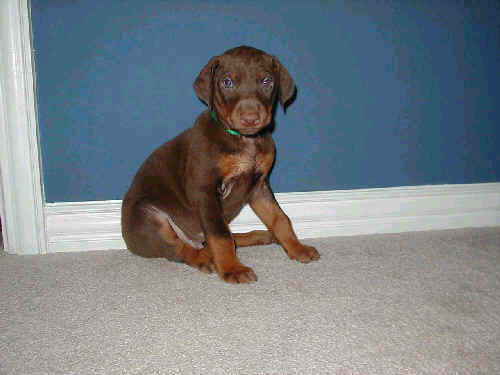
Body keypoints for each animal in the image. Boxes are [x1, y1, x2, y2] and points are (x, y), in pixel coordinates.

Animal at [123, 45, 322, 284]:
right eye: (227, 82)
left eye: (267, 81)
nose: (250, 118)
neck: (244, 140)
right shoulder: (205, 189)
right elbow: (219, 235)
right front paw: (231, 268)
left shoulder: (259, 186)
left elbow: (280, 218)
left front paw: (296, 247)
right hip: (147, 216)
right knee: (179, 249)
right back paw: (206, 258)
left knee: (217, 237)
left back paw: (259, 235)